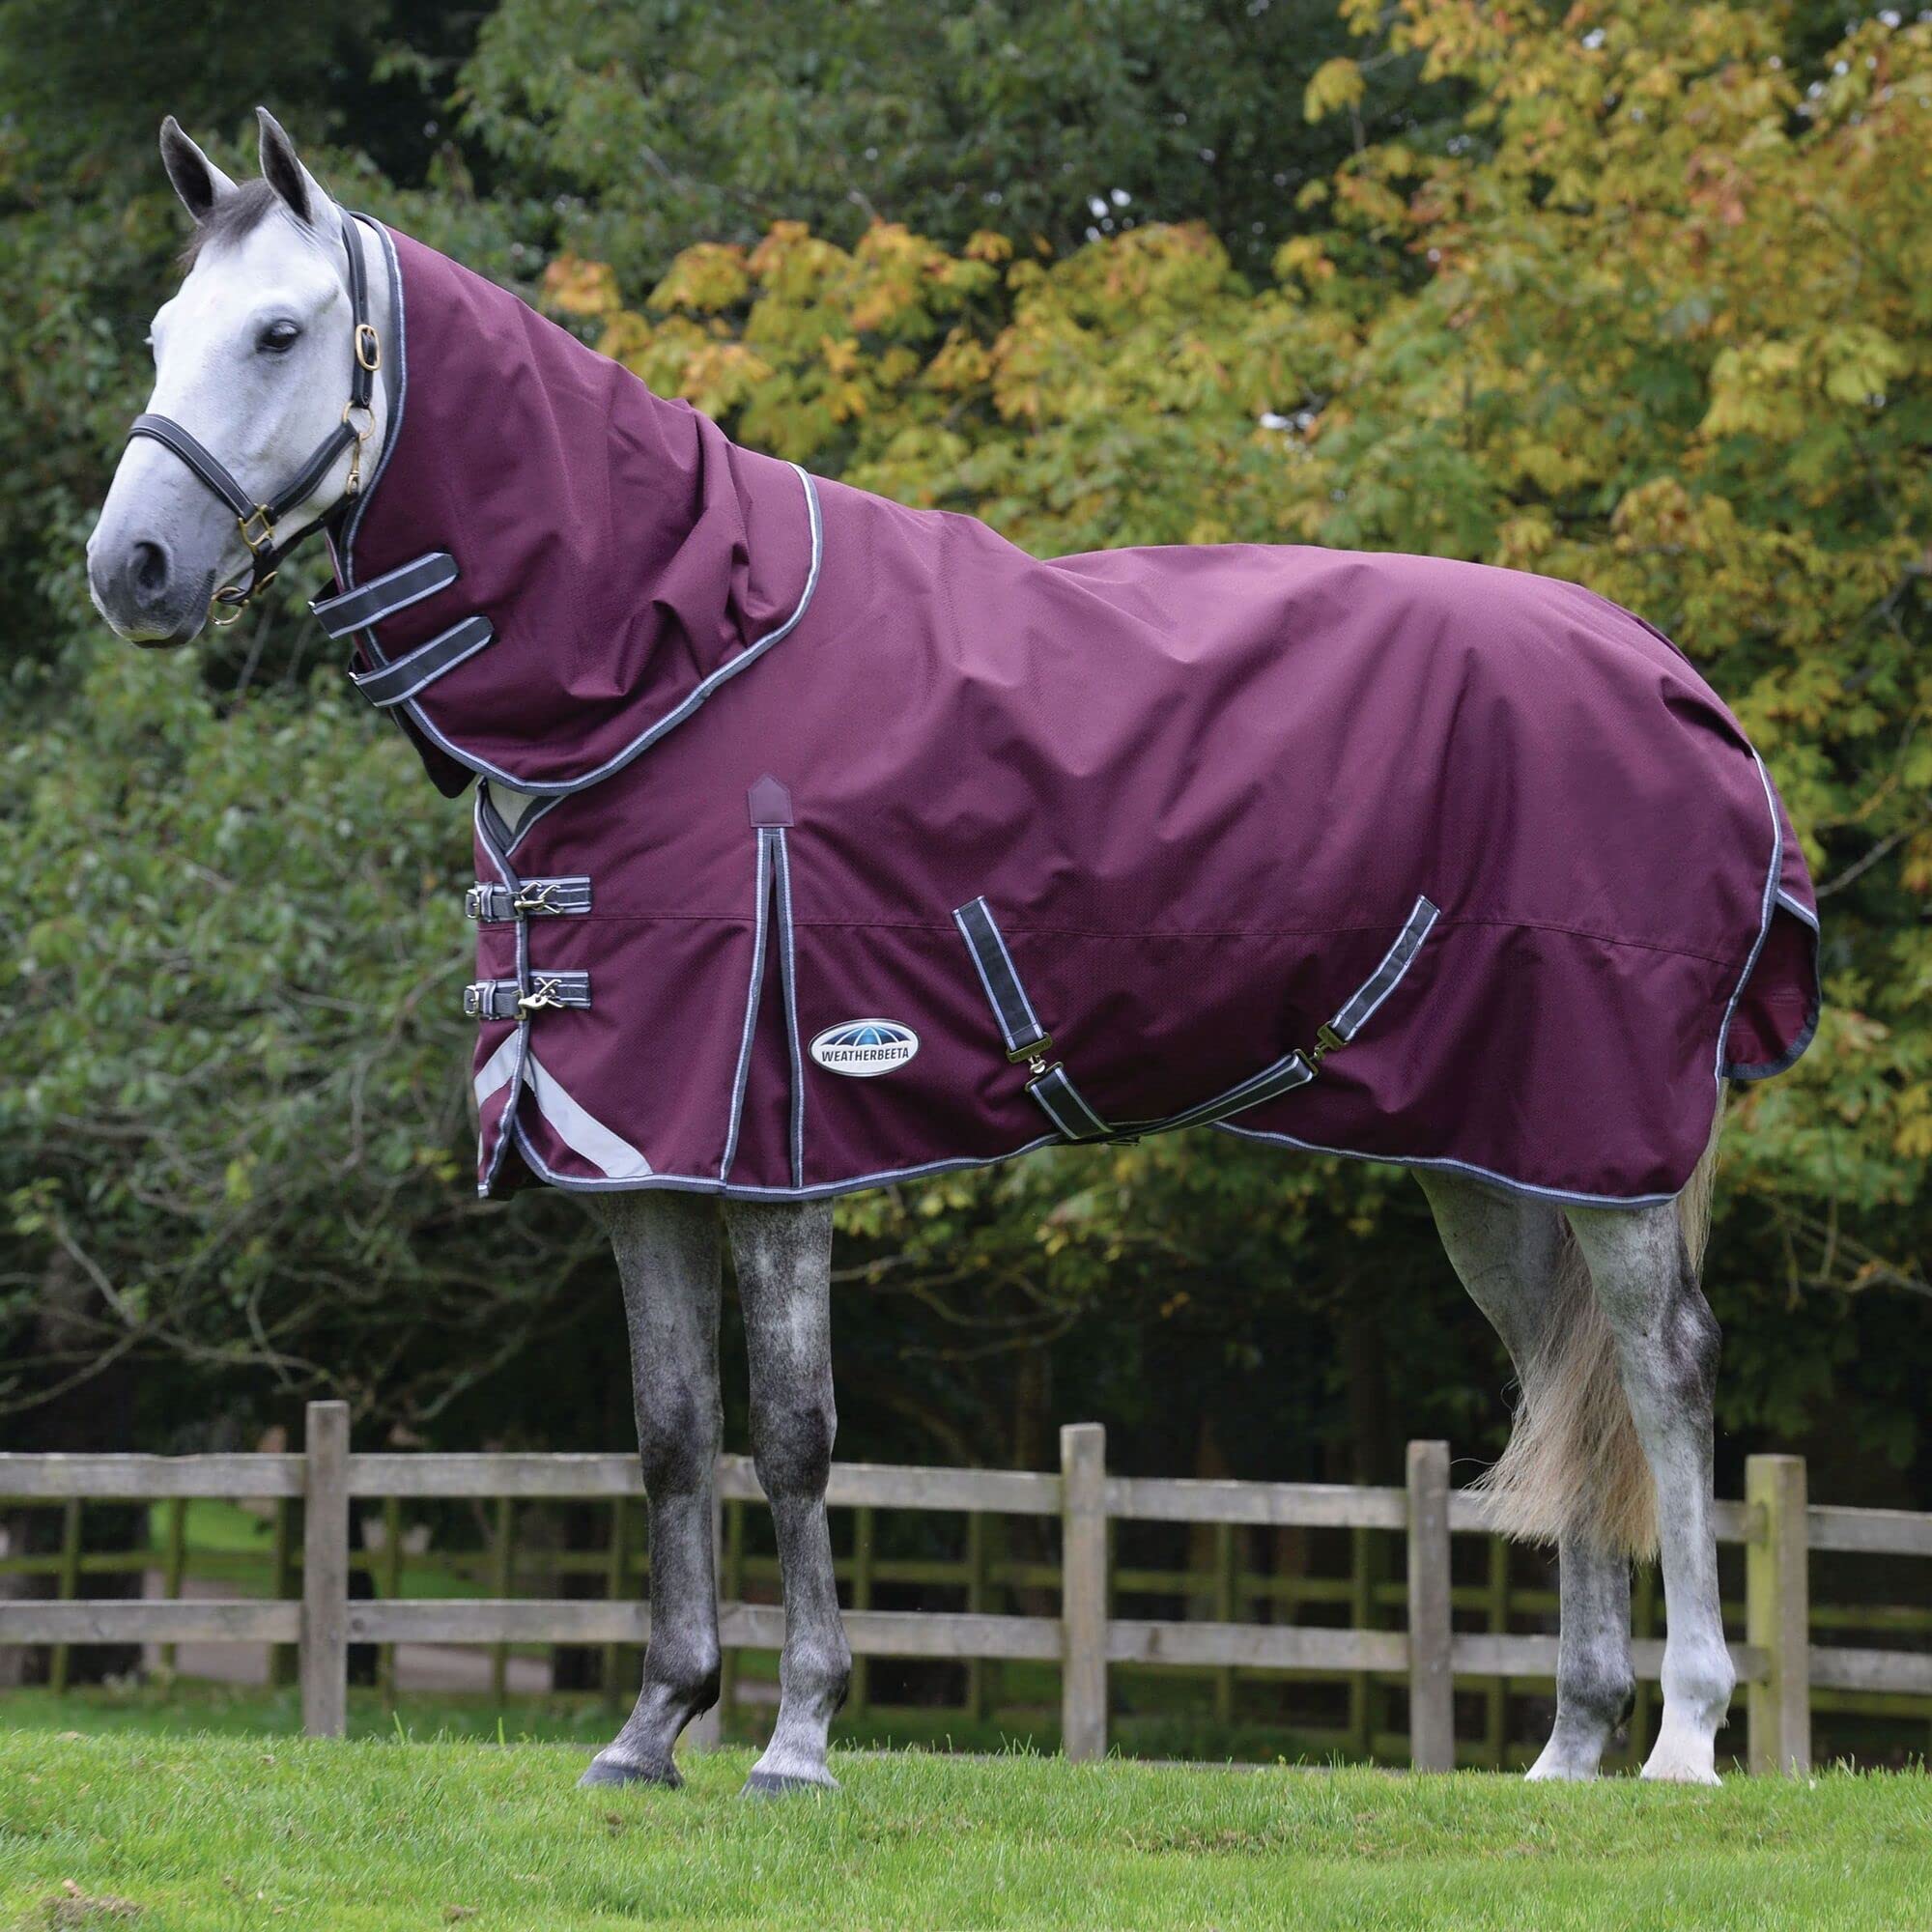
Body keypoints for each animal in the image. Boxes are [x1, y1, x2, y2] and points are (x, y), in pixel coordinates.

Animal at [88, 110, 1820, 1791]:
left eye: (281, 331)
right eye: (165, 331)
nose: (131, 573)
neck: (675, 666)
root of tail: (1675, 679)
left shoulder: (781, 1136)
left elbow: (790, 1431)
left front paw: (796, 1735)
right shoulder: (643, 1152)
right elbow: (668, 1432)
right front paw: (651, 1731)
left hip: (1610, 1139)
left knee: (1661, 1372)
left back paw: (1682, 1740)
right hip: (1501, 1155)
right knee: (1560, 1382)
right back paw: (1567, 1749)